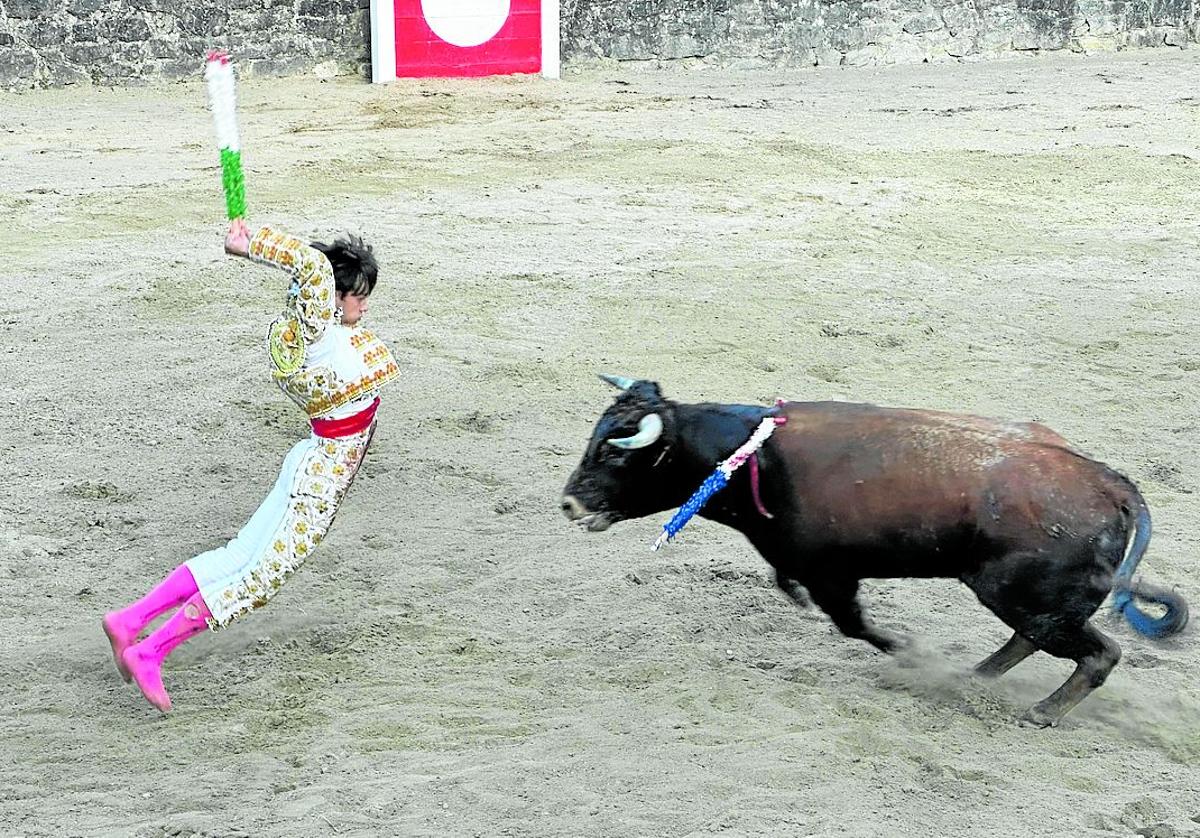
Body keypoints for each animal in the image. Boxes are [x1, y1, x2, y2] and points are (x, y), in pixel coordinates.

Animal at [561, 374, 1190, 725]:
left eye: (616, 452)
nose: (568, 503)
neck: (755, 457)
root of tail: (1112, 484)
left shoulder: (830, 574)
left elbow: (855, 625)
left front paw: (907, 651)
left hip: (1025, 596)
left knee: (1096, 652)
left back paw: (1039, 713)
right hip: (1029, 598)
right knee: (1031, 639)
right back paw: (976, 676)